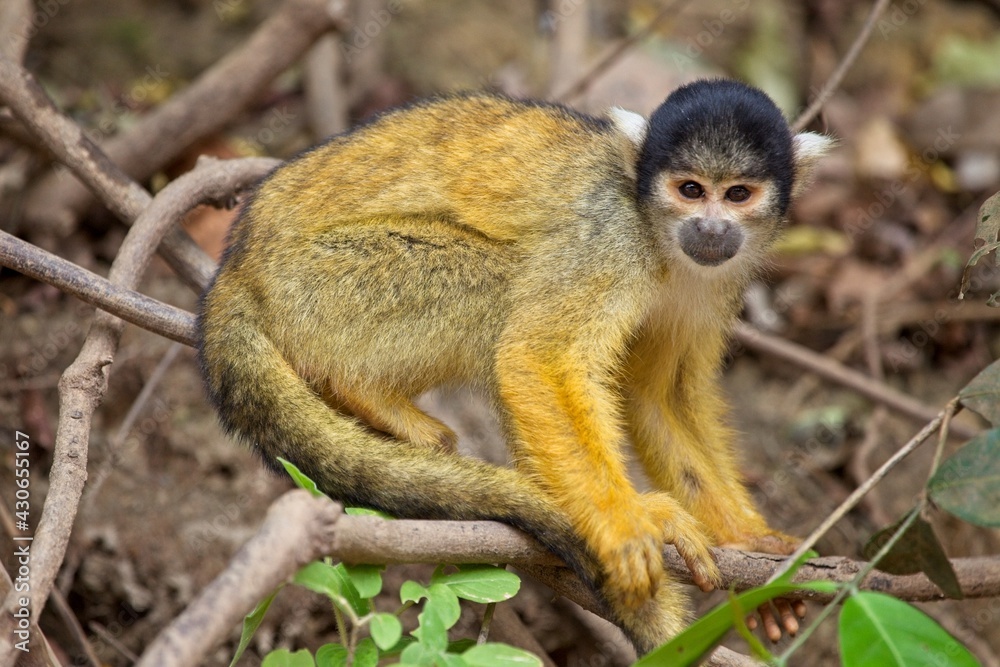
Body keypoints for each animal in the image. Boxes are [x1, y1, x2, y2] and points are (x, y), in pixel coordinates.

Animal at [196, 79, 832, 653]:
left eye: (738, 194)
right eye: (691, 189)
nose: (711, 227)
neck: (659, 235)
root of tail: (236, 265)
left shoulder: (717, 279)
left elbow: (657, 397)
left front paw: (754, 544)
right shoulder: (610, 238)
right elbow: (538, 357)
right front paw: (625, 525)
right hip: (316, 285)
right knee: (500, 283)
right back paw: (364, 393)